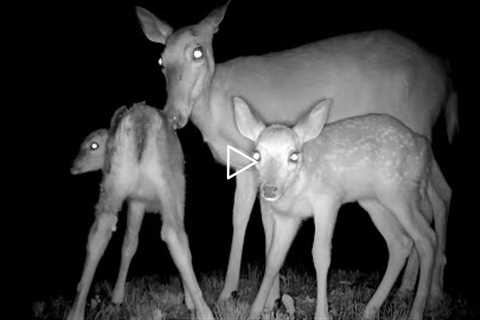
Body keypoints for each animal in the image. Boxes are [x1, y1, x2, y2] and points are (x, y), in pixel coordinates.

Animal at [66, 102, 213, 320]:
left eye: (93, 145)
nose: (73, 167)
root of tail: (140, 120)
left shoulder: (136, 200)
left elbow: (129, 244)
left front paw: (117, 297)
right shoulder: (166, 199)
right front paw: (189, 301)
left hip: (114, 185)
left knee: (99, 233)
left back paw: (76, 312)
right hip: (168, 185)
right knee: (174, 235)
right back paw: (204, 311)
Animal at [232, 97, 438, 320]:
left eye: (293, 156)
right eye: (257, 155)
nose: (269, 189)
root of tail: (425, 148)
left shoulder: (328, 199)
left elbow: (321, 255)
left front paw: (322, 314)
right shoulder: (289, 217)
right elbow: (273, 260)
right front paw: (254, 312)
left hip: (401, 193)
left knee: (427, 239)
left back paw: (415, 312)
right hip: (374, 202)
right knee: (400, 243)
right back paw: (370, 310)